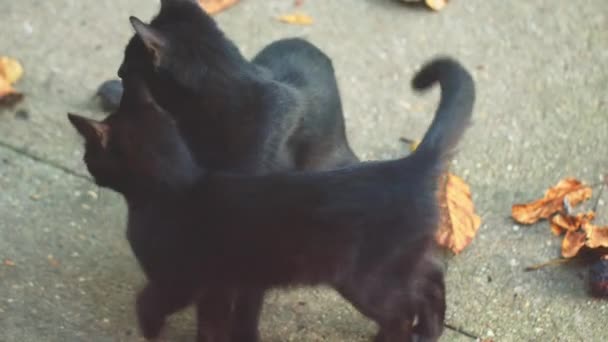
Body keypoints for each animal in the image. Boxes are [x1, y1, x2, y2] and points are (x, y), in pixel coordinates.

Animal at [70, 57, 476, 340]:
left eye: (90, 154)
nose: (86, 164)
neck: (176, 187)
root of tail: (410, 164)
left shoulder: (181, 280)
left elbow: (150, 302)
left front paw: (148, 328)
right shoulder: (220, 285)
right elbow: (214, 324)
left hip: (366, 279)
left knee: (402, 310)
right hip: (399, 264)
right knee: (431, 278)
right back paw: (430, 330)